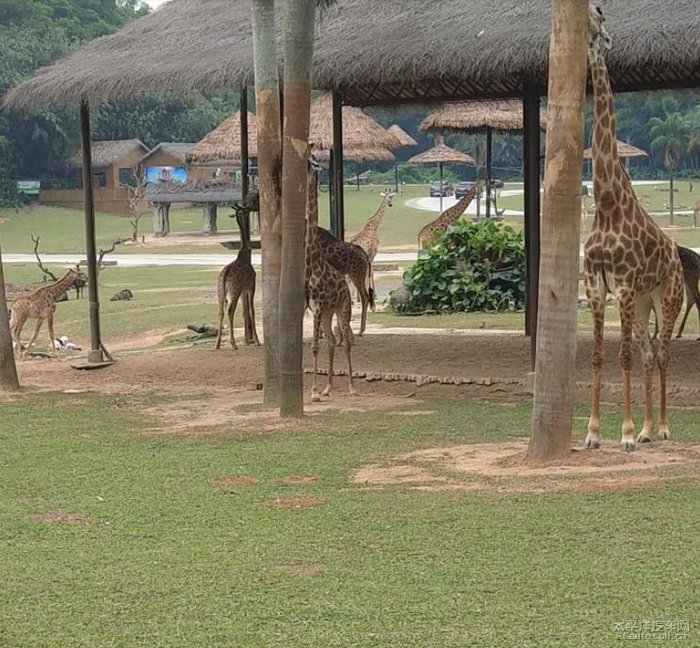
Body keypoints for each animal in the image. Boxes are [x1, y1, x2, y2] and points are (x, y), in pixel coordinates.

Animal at [213, 216, 260, 352]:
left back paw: (217, 344)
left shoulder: (243, 290)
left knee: (221, 311)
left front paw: (247, 341)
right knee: (230, 310)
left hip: (220, 292)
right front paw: (257, 341)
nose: (241, 214)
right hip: (234, 291)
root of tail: (225, 274)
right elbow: (251, 310)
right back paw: (233, 344)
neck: (242, 254)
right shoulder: (250, 286)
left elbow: (245, 312)